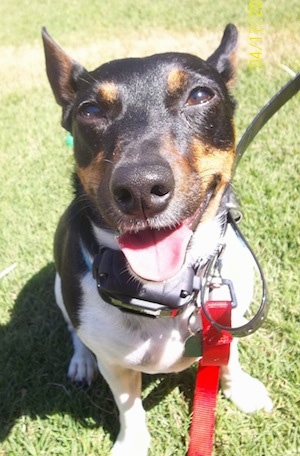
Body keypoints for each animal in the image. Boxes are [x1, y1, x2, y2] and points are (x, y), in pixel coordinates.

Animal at [42, 25, 274, 456]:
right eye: (89, 111)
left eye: (199, 95)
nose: (140, 189)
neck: (165, 288)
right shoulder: (115, 363)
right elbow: (128, 406)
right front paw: (132, 443)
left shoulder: (226, 316)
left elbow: (228, 358)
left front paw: (241, 390)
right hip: (59, 288)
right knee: (75, 332)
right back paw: (82, 361)